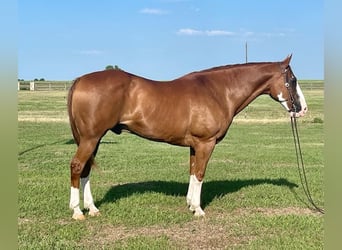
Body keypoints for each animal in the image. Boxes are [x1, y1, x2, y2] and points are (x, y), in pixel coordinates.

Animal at [67, 54, 308, 219]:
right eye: (293, 80)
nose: (303, 109)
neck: (218, 91)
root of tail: (80, 80)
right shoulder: (206, 143)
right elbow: (200, 174)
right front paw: (199, 210)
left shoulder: (194, 145)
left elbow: (192, 173)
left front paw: (191, 205)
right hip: (90, 138)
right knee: (77, 166)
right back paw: (77, 211)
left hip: (94, 140)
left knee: (85, 169)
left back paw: (92, 209)